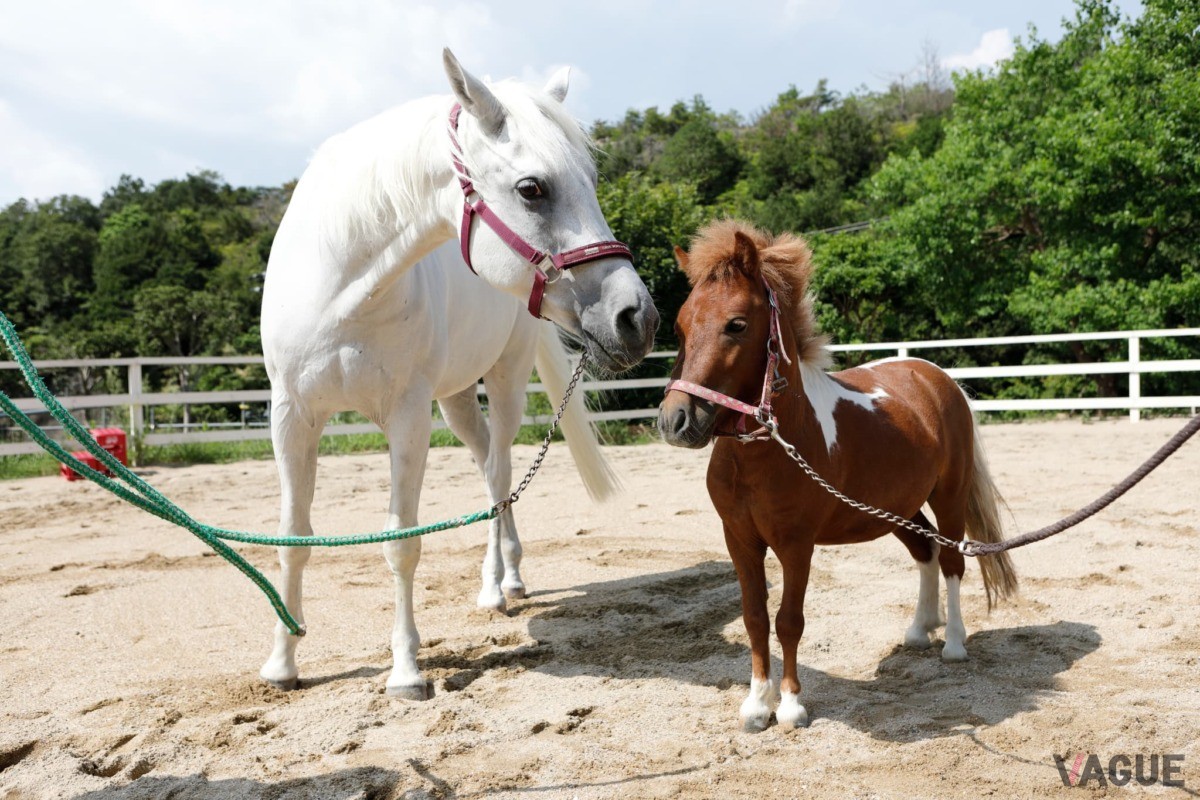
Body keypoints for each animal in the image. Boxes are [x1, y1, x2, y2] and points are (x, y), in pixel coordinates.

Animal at [258, 50, 658, 700]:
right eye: (532, 188)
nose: (637, 318)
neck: (341, 284)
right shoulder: (292, 416)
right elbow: (293, 537)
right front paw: (282, 664)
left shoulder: (407, 418)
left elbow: (402, 544)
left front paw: (405, 672)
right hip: (456, 402)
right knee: (489, 470)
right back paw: (509, 577)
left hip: (503, 384)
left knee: (499, 476)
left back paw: (498, 587)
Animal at [658, 220, 1018, 731]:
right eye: (680, 325)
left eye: (737, 324)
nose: (675, 420)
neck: (770, 450)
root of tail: (934, 376)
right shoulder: (739, 540)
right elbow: (753, 617)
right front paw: (756, 704)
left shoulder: (796, 545)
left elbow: (789, 620)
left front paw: (790, 705)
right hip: (896, 509)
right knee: (925, 552)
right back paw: (919, 630)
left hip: (948, 496)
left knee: (951, 561)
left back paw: (953, 642)